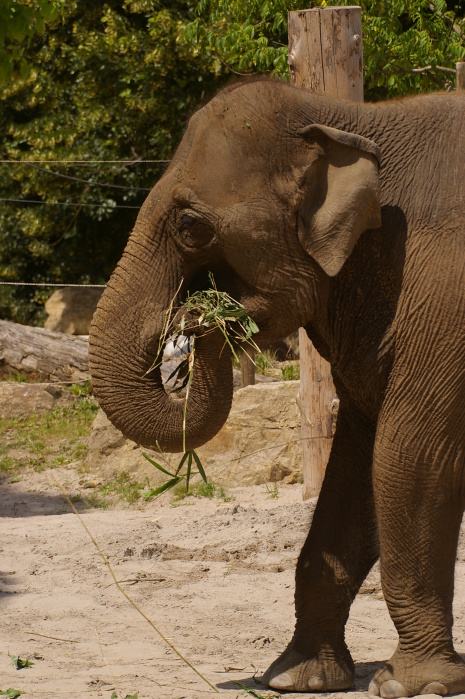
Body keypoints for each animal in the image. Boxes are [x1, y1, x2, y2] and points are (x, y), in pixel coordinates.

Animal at [89, 79, 464, 696]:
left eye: (191, 226)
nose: (195, 316)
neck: (350, 119)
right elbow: (356, 465)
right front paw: (296, 677)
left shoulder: (446, 301)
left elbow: (411, 458)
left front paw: (412, 684)